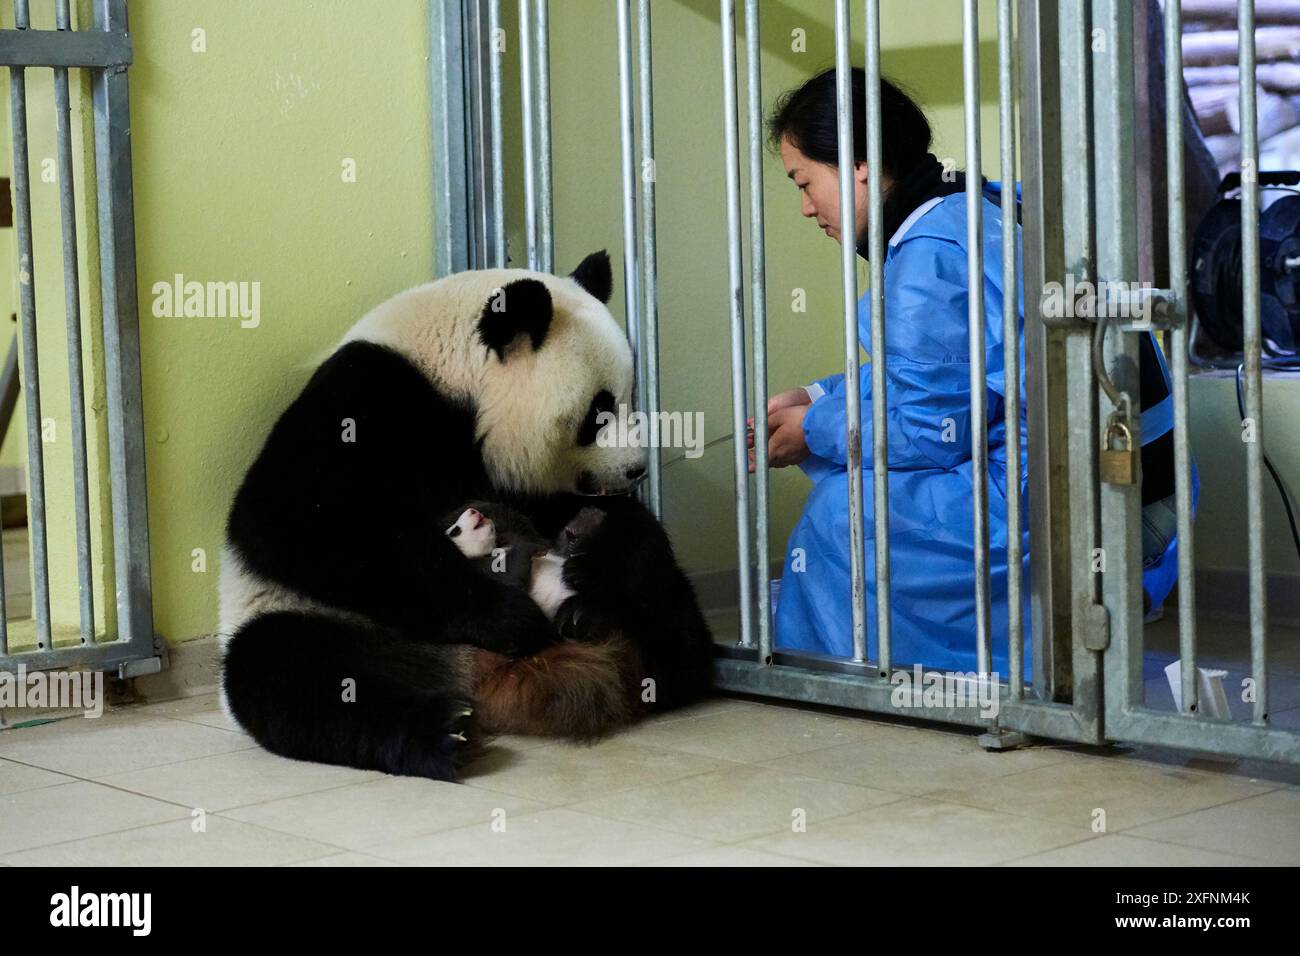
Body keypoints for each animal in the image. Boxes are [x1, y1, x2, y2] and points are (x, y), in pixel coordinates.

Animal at [218, 251, 717, 780]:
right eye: (597, 412)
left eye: (628, 398)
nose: (635, 469)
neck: (451, 372)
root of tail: (476, 671)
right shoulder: (369, 396)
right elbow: (295, 518)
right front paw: (508, 616)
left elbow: (565, 513)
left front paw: (597, 550)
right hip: (315, 617)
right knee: (289, 672)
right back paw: (442, 732)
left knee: (668, 606)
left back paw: (609, 627)